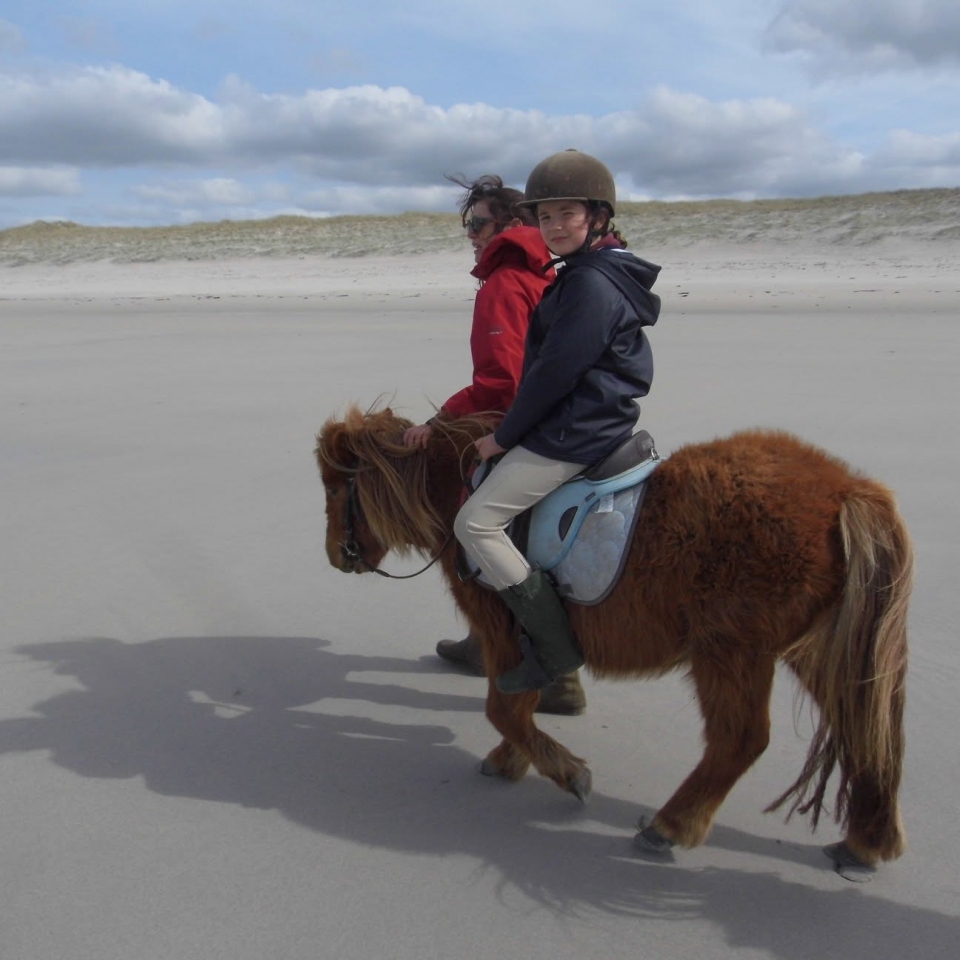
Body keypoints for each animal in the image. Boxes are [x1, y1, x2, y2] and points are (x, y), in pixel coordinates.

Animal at [315, 405, 912, 873]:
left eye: (337, 487)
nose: (336, 556)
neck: (461, 488)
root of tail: (846, 491)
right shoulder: (527, 642)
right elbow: (517, 706)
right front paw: (514, 760)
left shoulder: (503, 631)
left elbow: (504, 709)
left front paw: (565, 772)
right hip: (810, 650)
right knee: (864, 728)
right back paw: (865, 842)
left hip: (730, 650)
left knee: (741, 740)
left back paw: (670, 826)